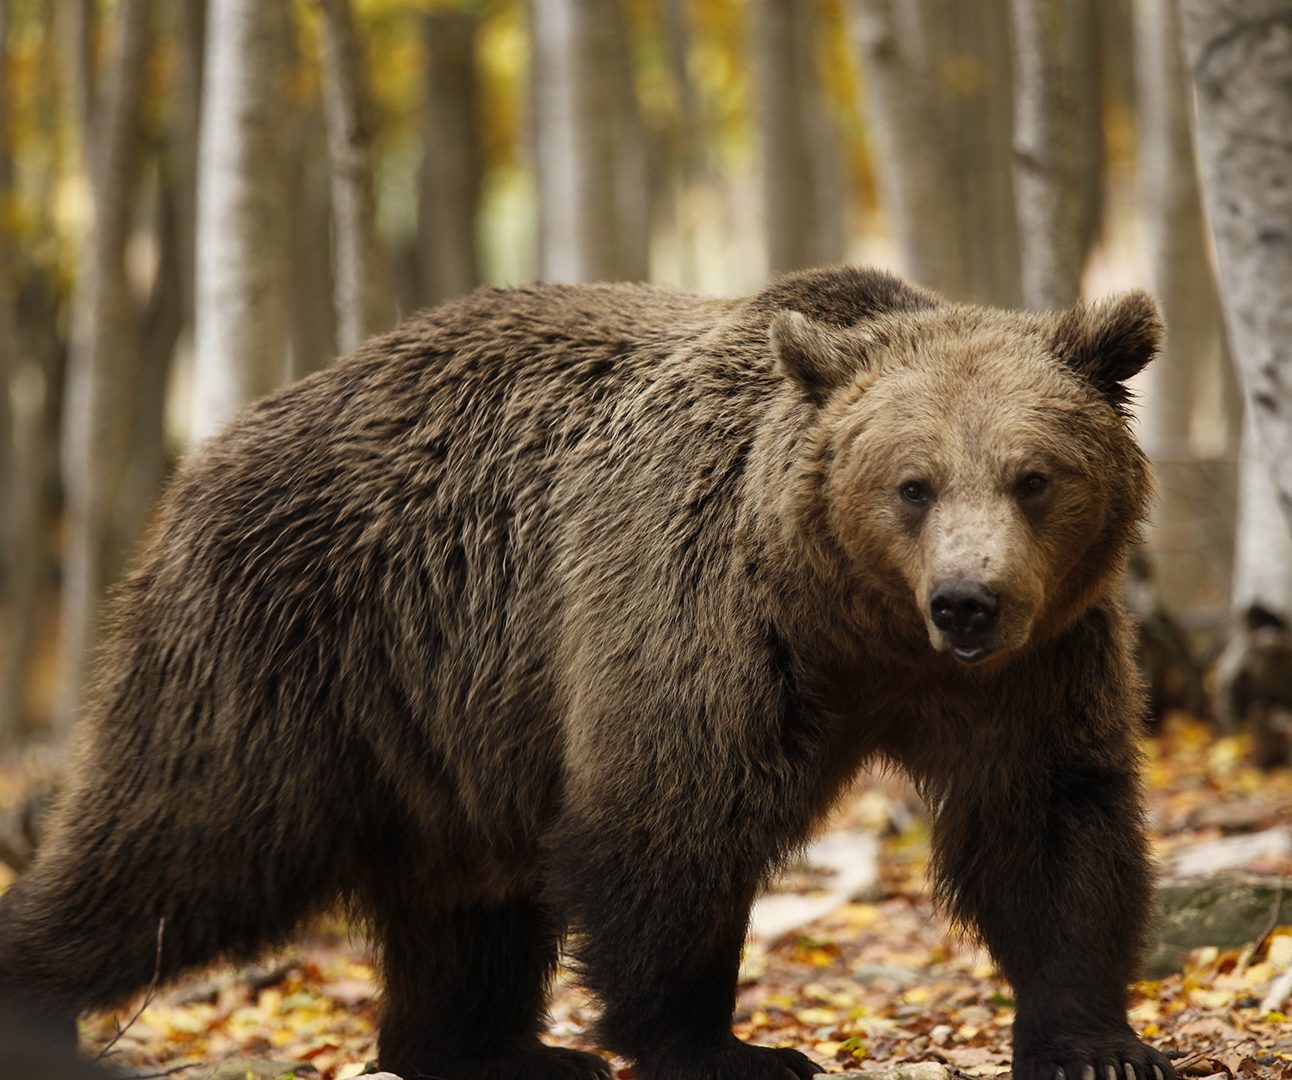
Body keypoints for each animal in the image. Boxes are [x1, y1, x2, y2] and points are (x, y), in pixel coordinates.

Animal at [0, 267, 1173, 1080]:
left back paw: (493, 1050)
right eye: (911, 484)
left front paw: (1097, 1043)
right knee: (182, 847)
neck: (852, 620)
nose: (967, 601)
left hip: (451, 724)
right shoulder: (703, 615)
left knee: (470, 900)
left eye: (1032, 477)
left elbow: (1046, 823)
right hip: (292, 646)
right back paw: (41, 1003)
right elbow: (672, 821)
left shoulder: (1031, 668)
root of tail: (212, 447)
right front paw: (726, 1048)